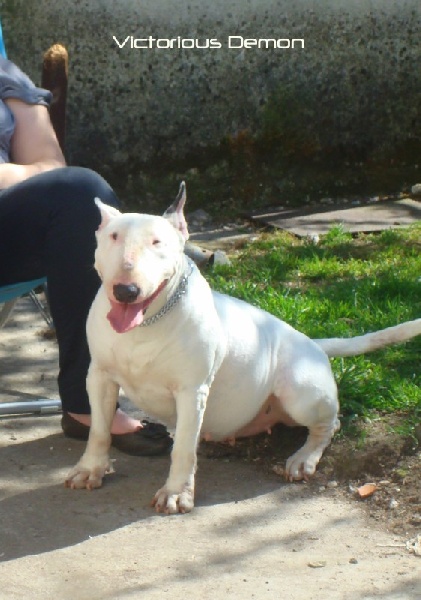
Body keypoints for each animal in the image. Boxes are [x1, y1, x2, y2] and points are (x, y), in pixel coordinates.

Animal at [65, 183, 421, 514]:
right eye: (113, 237)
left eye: (157, 242)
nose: (126, 291)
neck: (145, 324)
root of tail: (313, 342)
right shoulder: (99, 377)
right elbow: (99, 428)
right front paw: (90, 470)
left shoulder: (192, 390)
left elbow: (183, 448)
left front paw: (176, 493)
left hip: (300, 392)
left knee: (328, 425)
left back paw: (303, 458)